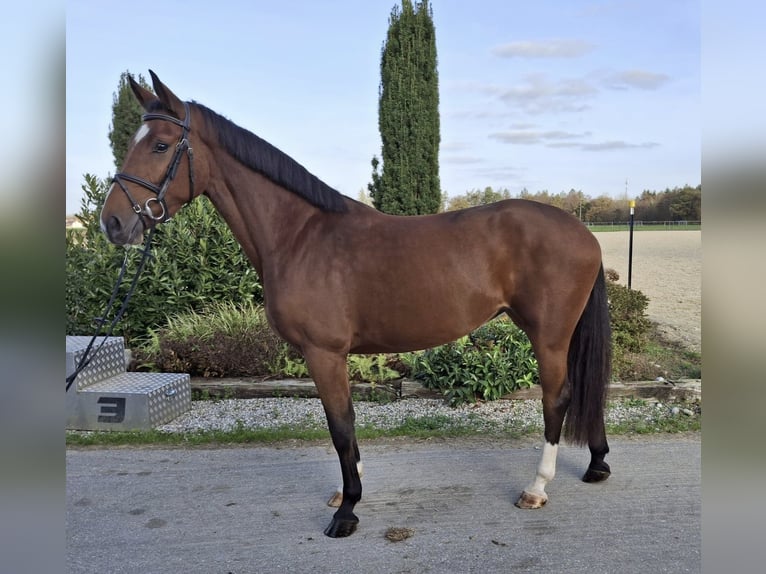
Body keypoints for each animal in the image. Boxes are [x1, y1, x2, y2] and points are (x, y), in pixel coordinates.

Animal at [99, 72, 612, 540]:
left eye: (161, 145)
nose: (113, 223)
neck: (299, 235)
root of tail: (584, 234)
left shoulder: (323, 353)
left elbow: (340, 426)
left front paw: (347, 511)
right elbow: (344, 425)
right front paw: (348, 490)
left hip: (548, 336)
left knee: (557, 398)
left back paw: (537, 487)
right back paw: (597, 463)